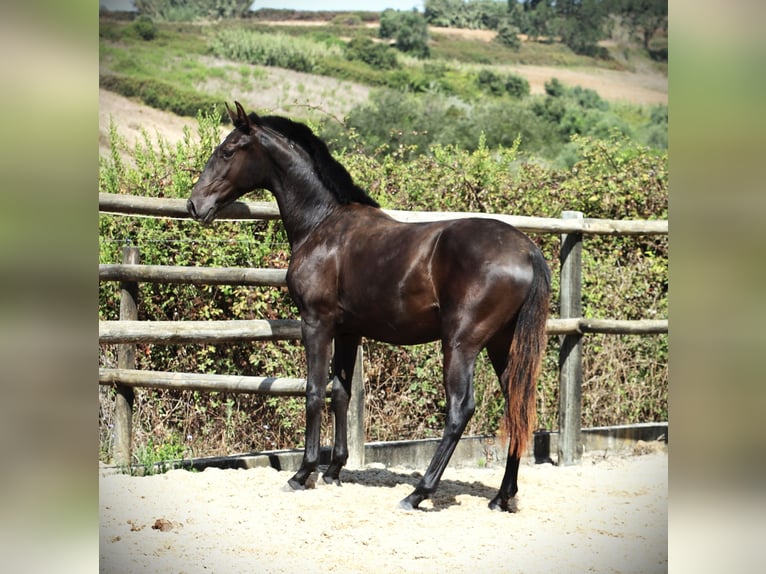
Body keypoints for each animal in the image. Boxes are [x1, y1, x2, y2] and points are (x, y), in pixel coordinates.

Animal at [190, 103, 552, 512]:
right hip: (503, 345)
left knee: (460, 409)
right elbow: (340, 392)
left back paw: (418, 493)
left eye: (227, 151)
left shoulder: (316, 323)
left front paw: (303, 473)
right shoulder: (349, 331)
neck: (323, 224)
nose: (194, 204)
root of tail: (527, 250)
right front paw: (334, 471)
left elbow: (314, 391)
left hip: (461, 345)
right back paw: (502, 496)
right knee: (518, 406)